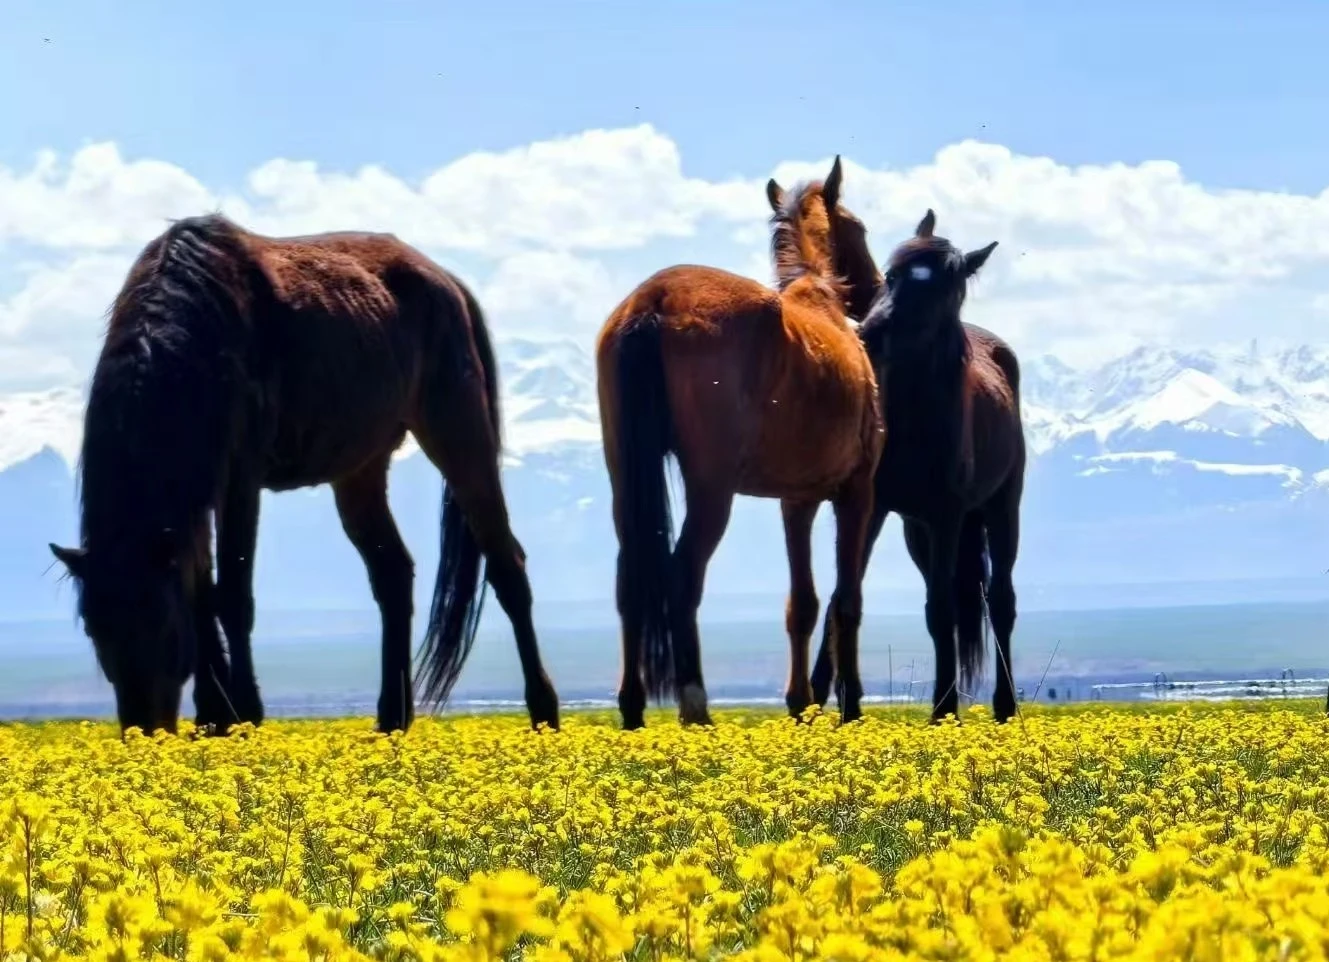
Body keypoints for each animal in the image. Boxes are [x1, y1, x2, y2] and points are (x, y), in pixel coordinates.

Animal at [49, 213, 560, 736]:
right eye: (95, 628)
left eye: (161, 627)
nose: (142, 732)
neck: (194, 337)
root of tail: (448, 282)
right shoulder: (196, 498)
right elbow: (200, 593)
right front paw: (214, 717)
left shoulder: (238, 482)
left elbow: (232, 598)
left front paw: (244, 713)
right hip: (360, 470)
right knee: (393, 574)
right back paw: (391, 719)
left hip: (458, 434)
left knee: (506, 565)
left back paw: (544, 712)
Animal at [594, 156, 884, 730]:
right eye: (859, 228)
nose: (879, 287)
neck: (819, 298)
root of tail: (652, 302)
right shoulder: (855, 492)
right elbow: (845, 601)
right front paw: (851, 708)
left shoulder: (797, 500)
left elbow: (803, 604)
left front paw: (801, 704)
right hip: (712, 489)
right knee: (683, 575)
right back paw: (694, 706)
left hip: (625, 479)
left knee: (630, 580)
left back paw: (633, 708)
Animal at [809, 209, 1026, 724]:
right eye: (891, 276)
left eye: (941, 290)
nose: (871, 334)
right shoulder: (871, 510)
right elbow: (842, 598)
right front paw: (833, 705)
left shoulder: (947, 515)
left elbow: (942, 611)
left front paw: (943, 710)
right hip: (916, 531)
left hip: (1001, 508)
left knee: (1000, 602)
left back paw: (1004, 707)